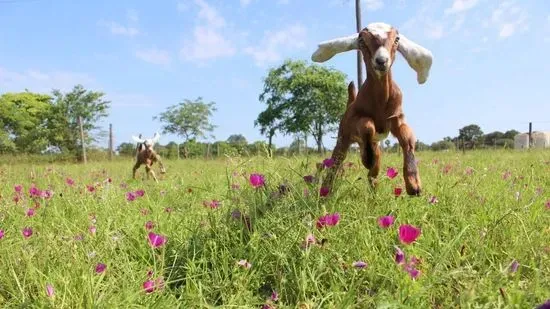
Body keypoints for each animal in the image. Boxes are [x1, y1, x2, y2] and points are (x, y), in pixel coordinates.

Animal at [310, 21, 436, 195]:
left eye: (397, 39)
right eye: (361, 40)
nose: (381, 60)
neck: (380, 102)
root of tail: (350, 102)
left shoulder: (396, 118)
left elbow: (407, 138)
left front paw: (413, 184)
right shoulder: (356, 120)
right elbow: (367, 124)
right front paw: (368, 160)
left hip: (373, 143)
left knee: (372, 172)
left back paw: (374, 187)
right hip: (343, 137)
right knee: (335, 163)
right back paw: (326, 189)